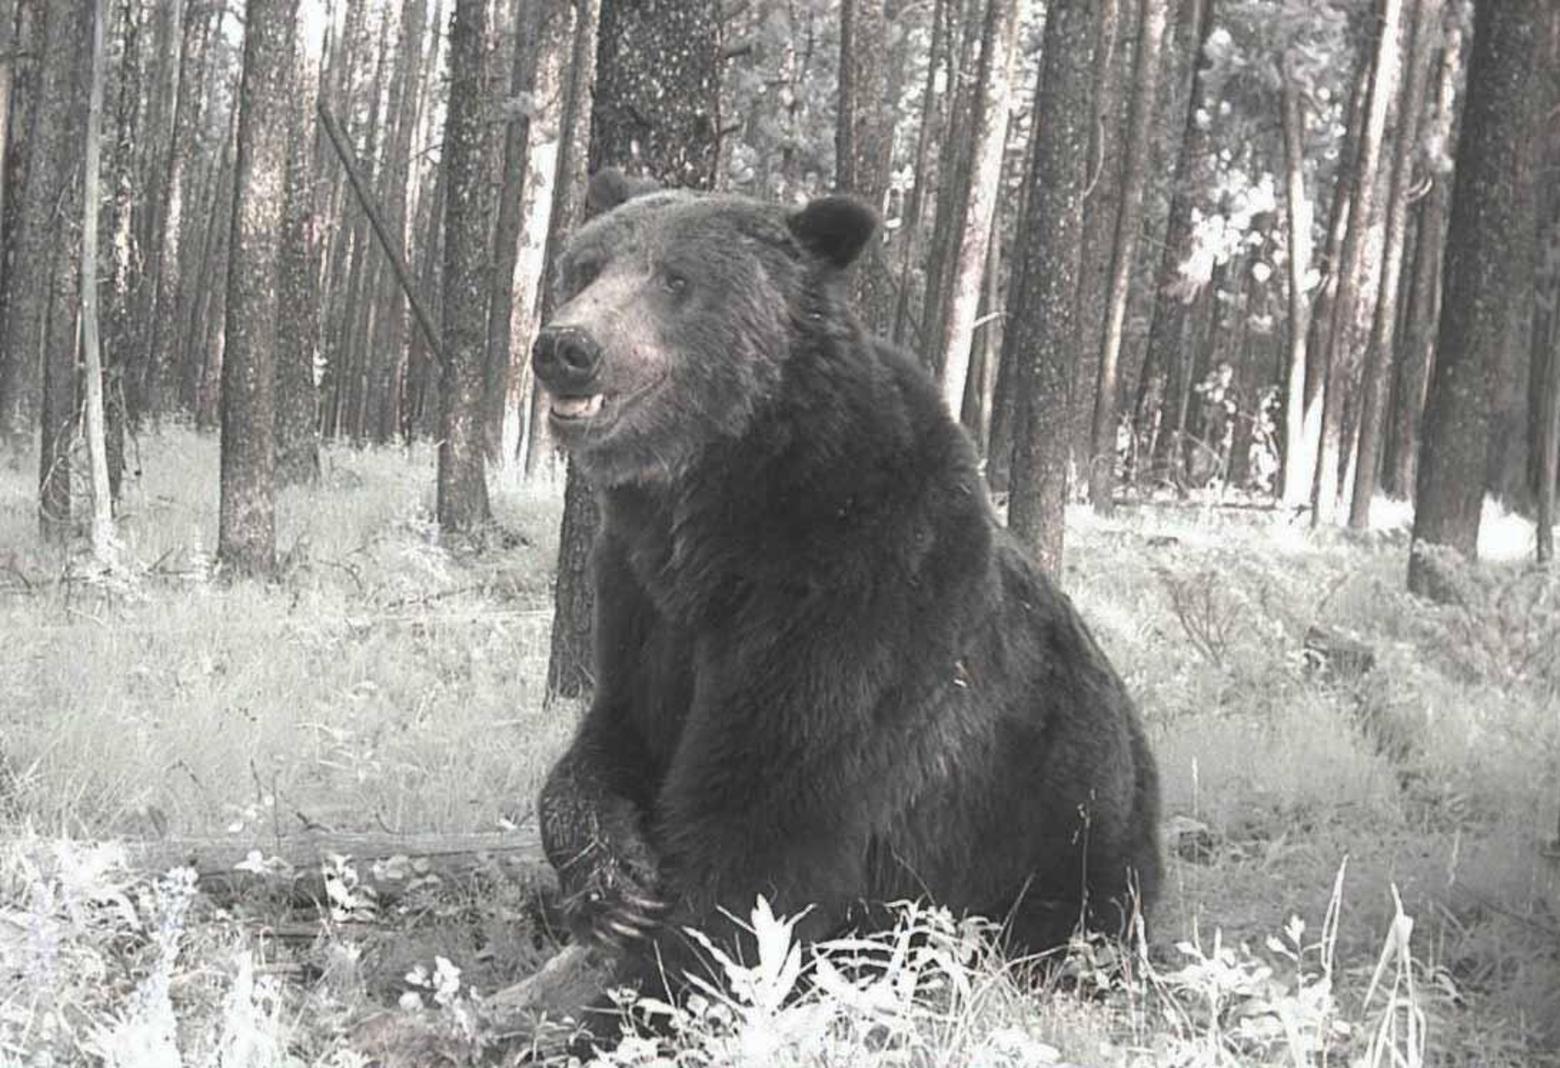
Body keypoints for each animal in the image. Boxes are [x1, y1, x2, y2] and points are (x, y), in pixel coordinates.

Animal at [533, 173, 1160, 1016]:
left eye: (676, 280)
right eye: (586, 266)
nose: (567, 348)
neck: (722, 507)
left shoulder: (859, 594)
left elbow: (764, 831)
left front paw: (646, 1002)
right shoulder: (643, 598)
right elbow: (614, 736)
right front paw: (612, 882)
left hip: (1062, 824)